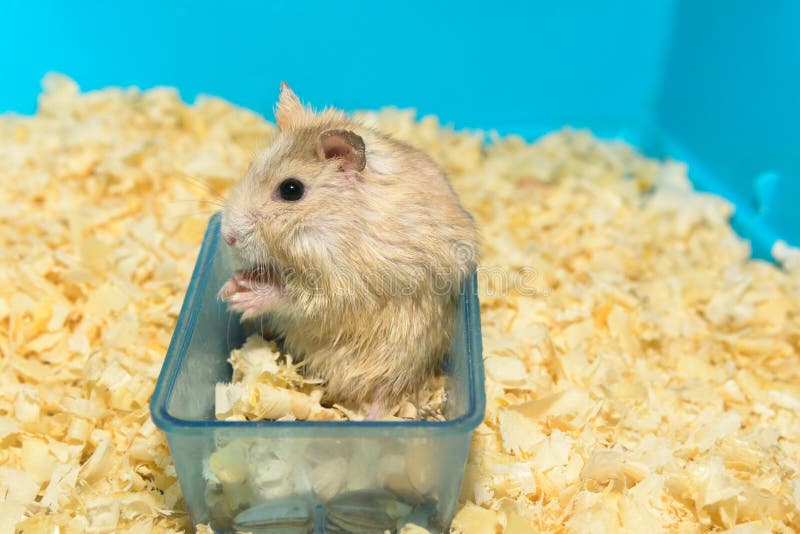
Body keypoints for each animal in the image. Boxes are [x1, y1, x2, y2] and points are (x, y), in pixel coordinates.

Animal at [219, 83, 479, 417]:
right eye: (251, 166)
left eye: (291, 190)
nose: (227, 237)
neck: (327, 224)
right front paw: (230, 287)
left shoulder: (344, 286)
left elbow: (295, 297)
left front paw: (242, 300)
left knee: (384, 392)